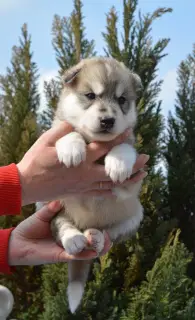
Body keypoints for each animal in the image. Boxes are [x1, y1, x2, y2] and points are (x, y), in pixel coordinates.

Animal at [45, 57, 144, 312]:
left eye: (121, 100)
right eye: (90, 95)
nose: (108, 120)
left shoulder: (133, 182)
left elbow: (124, 146)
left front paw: (118, 163)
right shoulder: (56, 130)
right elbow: (68, 132)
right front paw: (72, 148)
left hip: (134, 216)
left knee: (109, 233)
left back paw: (96, 236)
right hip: (53, 207)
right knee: (61, 226)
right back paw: (74, 239)